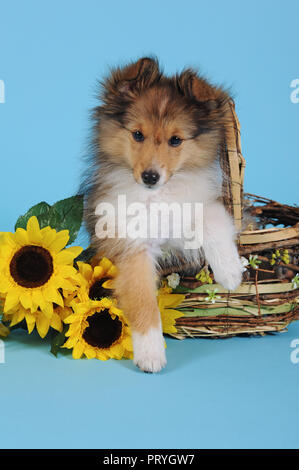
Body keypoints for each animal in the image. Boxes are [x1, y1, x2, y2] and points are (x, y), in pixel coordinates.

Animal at [81, 57, 244, 372]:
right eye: (137, 134)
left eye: (176, 140)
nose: (150, 176)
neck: (157, 196)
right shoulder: (132, 246)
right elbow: (144, 301)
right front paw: (151, 355)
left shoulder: (203, 202)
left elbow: (213, 219)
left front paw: (230, 272)